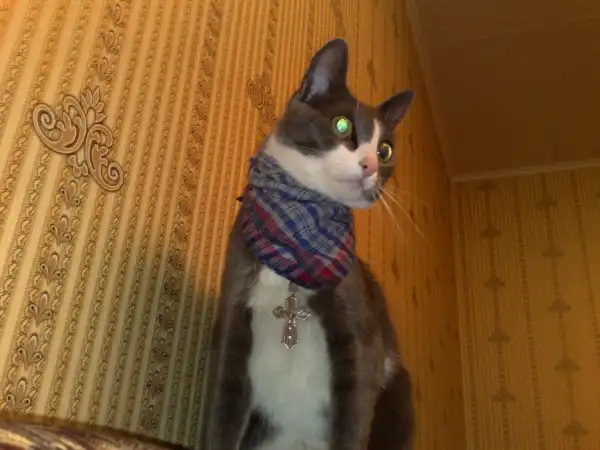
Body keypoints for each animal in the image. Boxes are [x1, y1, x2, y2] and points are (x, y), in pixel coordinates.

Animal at [203, 38, 415, 450]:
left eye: (385, 150)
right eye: (342, 125)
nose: (370, 165)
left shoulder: (359, 336)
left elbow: (352, 418)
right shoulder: (233, 321)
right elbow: (223, 413)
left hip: (399, 393)